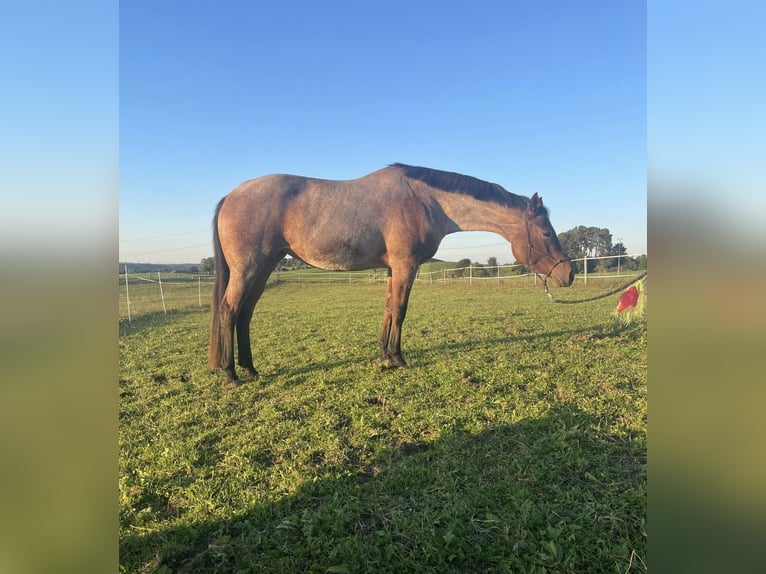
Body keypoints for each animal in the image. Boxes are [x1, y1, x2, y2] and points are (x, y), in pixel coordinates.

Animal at [208, 163, 574, 387]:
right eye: (546, 232)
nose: (568, 273)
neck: (425, 200)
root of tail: (230, 196)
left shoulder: (391, 268)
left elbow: (387, 309)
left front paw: (384, 355)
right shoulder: (405, 265)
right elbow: (400, 310)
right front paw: (397, 359)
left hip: (265, 266)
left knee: (245, 314)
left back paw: (250, 369)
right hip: (249, 267)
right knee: (229, 310)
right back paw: (230, 374)